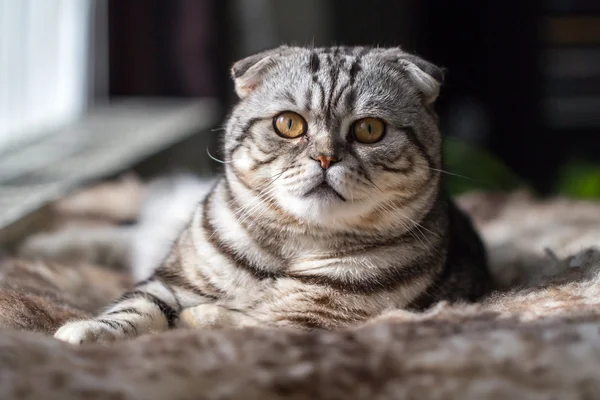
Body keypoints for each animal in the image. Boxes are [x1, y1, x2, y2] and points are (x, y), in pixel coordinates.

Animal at [54, 44, 492, 344]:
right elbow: (135, 307)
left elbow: (239, 320)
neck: (291, 249)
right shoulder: (170, 281)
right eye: (289, 124)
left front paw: (198, 318)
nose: (324, 157)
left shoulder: (311, 325)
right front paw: (88, 331)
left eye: (369, 129)